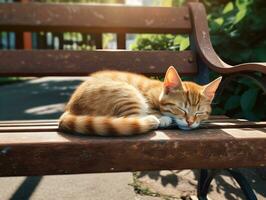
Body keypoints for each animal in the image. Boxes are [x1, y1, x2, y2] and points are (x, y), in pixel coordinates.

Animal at [58, 65, 222, 136]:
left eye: (199, 112)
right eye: (181, 109)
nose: (190, 122)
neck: (159, 91)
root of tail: (71, 108)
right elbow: (155, 110)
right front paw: (163, 117)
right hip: (126, 92)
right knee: (131, 118)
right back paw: (152, 120)